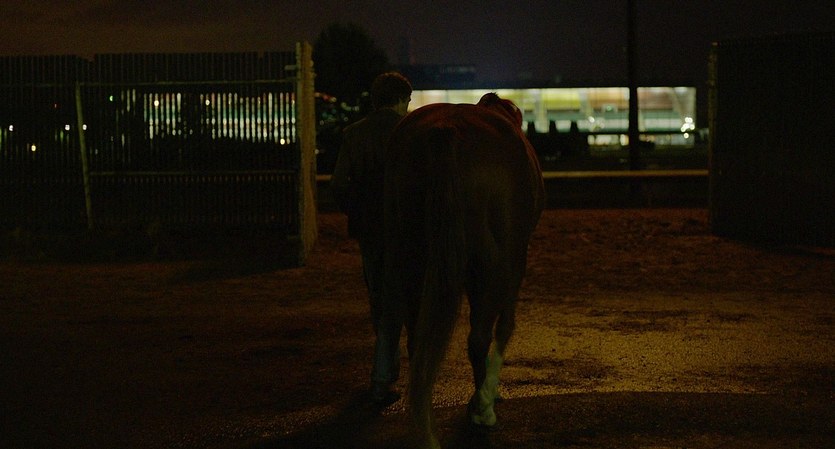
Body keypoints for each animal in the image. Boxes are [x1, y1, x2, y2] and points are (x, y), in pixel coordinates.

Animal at [383, 93, 545, 448]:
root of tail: (449, 130)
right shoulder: (516, 258)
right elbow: (506, 324)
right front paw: (488, 397)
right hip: (492, 262)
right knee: (479, 336)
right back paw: (482, 410)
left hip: (412, 258)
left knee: (418, 339)